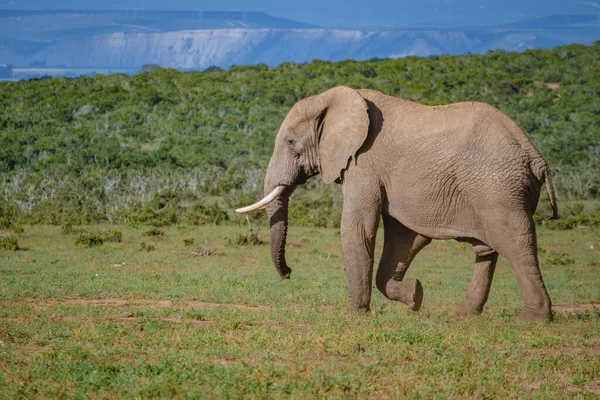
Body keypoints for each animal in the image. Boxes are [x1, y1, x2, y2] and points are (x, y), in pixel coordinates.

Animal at [236, 86, 556, 320]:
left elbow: (358, 227)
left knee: (516, 242)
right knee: (487, 248)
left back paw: (533, 319)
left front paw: (356, 315)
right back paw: (464, 314)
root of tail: (535, 155)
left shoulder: (364, 163)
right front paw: (415, 296)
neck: (333, 99)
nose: (289, 273)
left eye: (290, 142)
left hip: (497, 187)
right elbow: (404, 238)